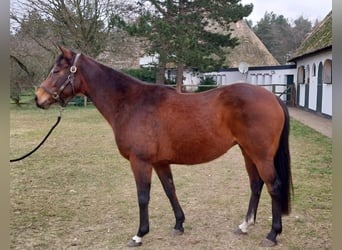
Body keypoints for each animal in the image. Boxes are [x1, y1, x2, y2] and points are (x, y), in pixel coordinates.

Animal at [34, 46, 292, 246]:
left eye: (57, 71)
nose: (38, 98)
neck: (131, 103)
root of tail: (273, 97)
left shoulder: (140, 162)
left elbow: (143, 197)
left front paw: (139, 235)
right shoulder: (159, 163)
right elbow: (170, 190)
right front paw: (179, 224)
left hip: (261, 155)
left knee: (274, 186)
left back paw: (272, 234)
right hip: (248, 152)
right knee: (256, 184)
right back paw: (245, 225)